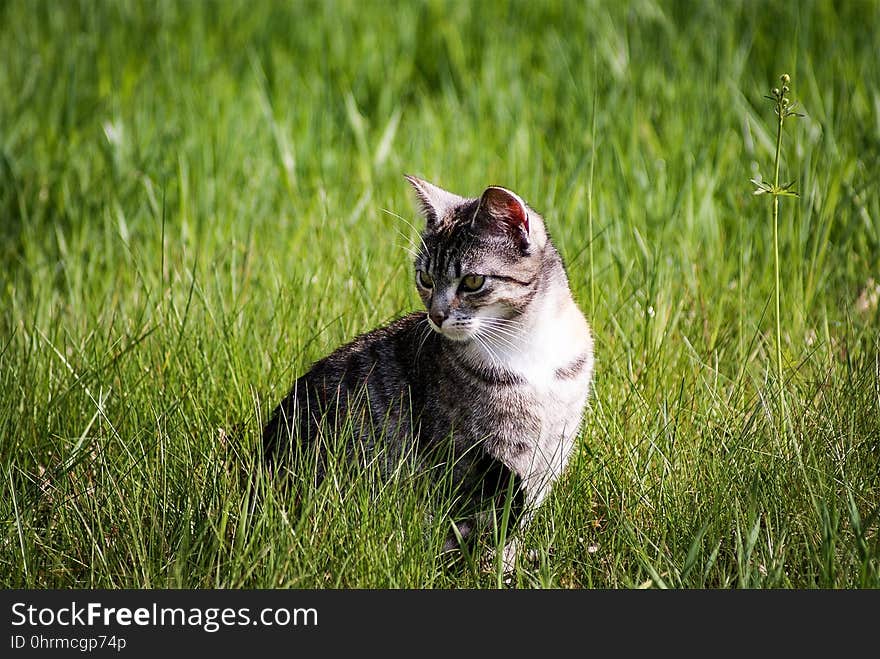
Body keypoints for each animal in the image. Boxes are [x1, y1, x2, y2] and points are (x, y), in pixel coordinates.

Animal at [262, 177, 592, 572]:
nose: (436, 315)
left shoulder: (547, 457)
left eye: (473, 281)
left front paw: (508, 567)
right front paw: (494, 570)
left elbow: (512, 530)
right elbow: (489, 528)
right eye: (425, 278)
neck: (529, 346)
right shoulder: (472, 460)